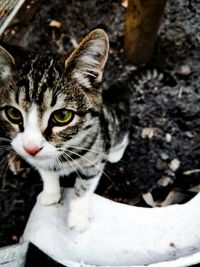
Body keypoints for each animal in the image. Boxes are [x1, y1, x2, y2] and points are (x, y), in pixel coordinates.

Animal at [0, 28, 130, 230]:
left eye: (62, 116)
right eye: (13, 113)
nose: (31, 148)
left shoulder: (95, 156)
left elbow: (85, 185)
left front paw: (78, 217)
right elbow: (47, 173)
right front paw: (51, 193)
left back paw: (115, 154)